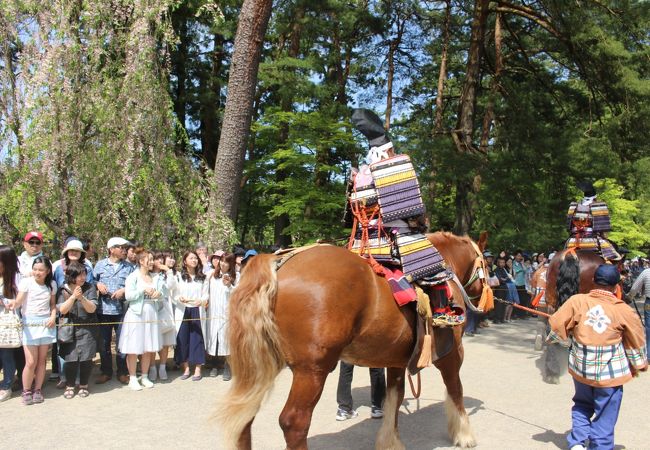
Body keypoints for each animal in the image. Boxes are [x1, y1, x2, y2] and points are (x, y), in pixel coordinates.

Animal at [216, 232, 486, 450]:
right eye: (485, 262)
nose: (487, 300)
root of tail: (279, 265)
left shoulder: (396, 359)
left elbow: (394, 398)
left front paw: (390, 441)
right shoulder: (451, 353)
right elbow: (455, 389)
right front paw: (464, 434)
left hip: (263, 363)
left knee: (245, 418)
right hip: (312, 370)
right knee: (294, 421)